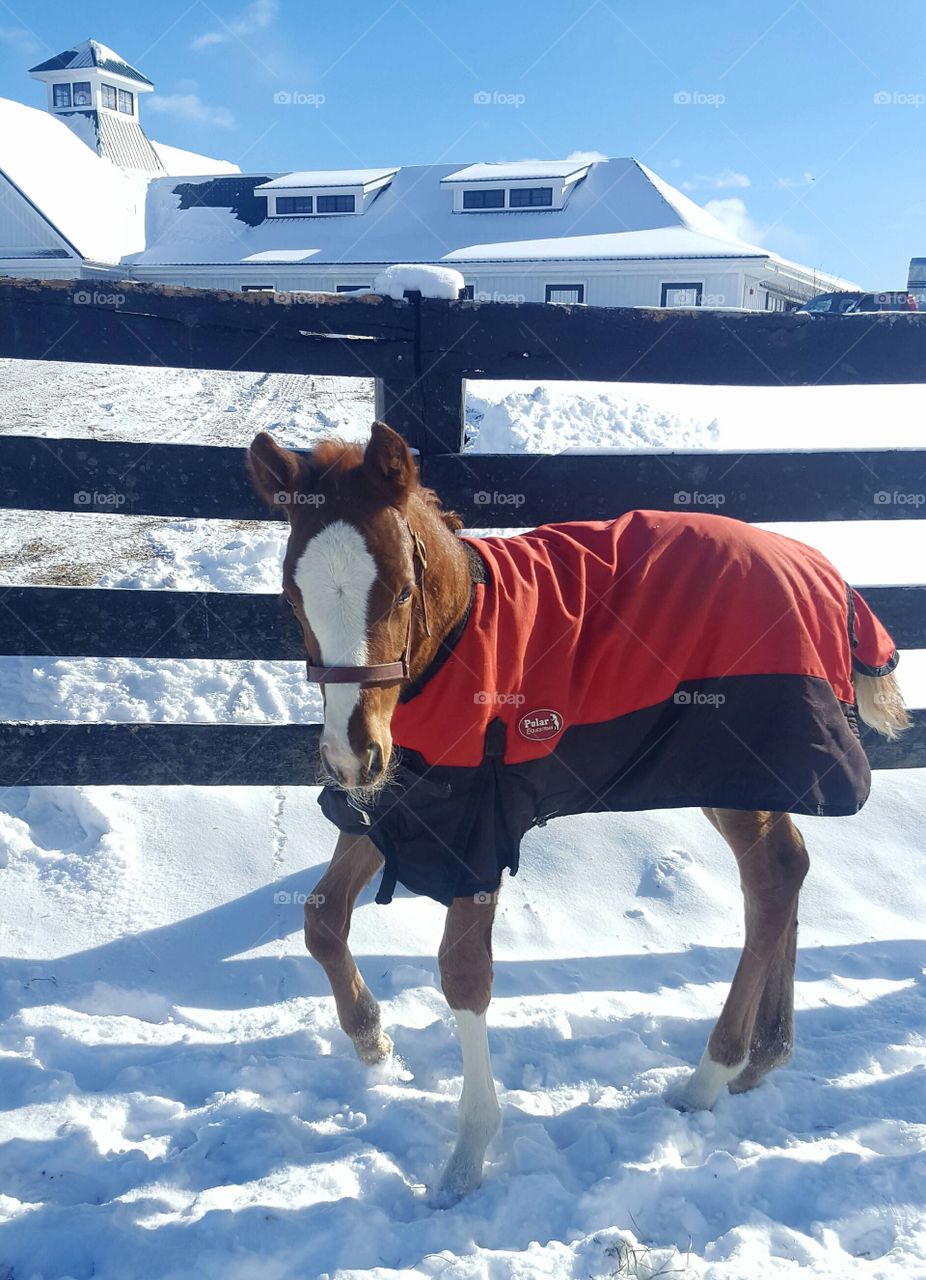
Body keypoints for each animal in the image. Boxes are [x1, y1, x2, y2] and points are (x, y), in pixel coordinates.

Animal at [245, 424, 906, 1203]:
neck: (456, 641)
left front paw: (467, 1156)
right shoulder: (406, 800)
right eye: (293, 598)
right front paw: (375, 1045)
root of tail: (827, 574)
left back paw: (708, 1076)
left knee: (772, 880)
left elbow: (462, 972)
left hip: (736, 767)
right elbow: (321, 916)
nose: (351, 757)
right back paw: (762, 1059)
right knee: (785, 869)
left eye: (403, 589)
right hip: (735, 773)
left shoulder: (476, 821)